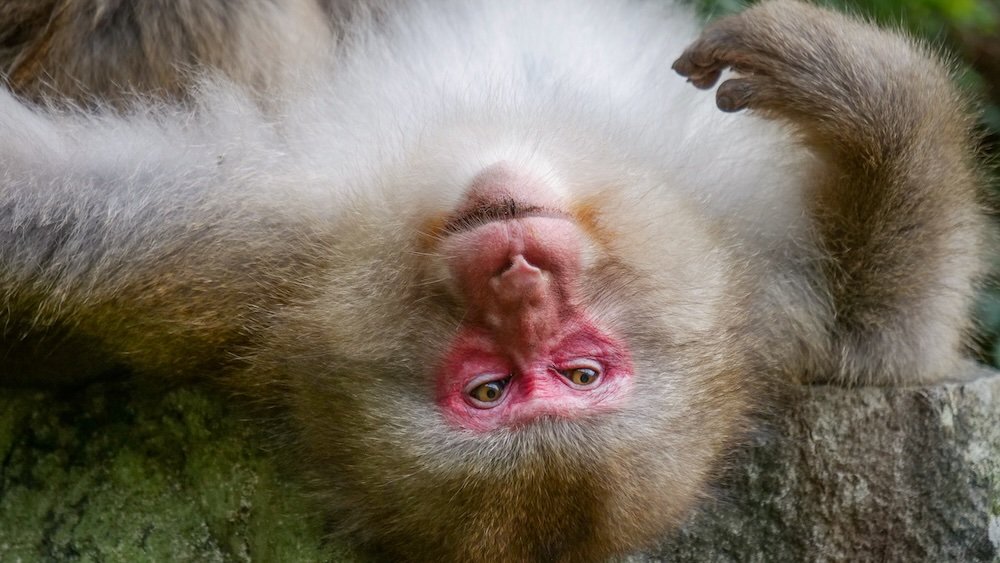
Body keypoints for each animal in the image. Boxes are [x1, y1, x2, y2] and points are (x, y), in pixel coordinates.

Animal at [0, 0, 984, 560]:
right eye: (491, 387)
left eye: (577, 372)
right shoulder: (252, 248)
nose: (517, 277)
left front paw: (858, 88)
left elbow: (893, 335)